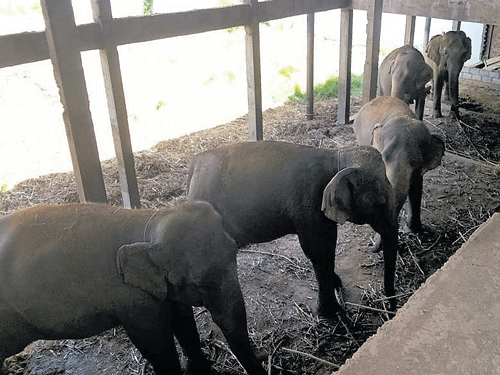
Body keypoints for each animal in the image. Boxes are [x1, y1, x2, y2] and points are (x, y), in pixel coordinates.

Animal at [0, 203, 266, 375]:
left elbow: (184, 321)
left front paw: (201, 367)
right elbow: (155, 343)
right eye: (199, 283)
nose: (263, 356)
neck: (146, 222)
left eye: (235, 252)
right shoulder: (133, 299)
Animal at [187, 142, 398, 320]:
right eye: (380, 203)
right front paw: (329, 314)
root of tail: (194, 164)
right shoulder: (309, 202)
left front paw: (336, 286)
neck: (336, 155)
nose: (391, 311)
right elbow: (317, 250)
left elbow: (328, 245)